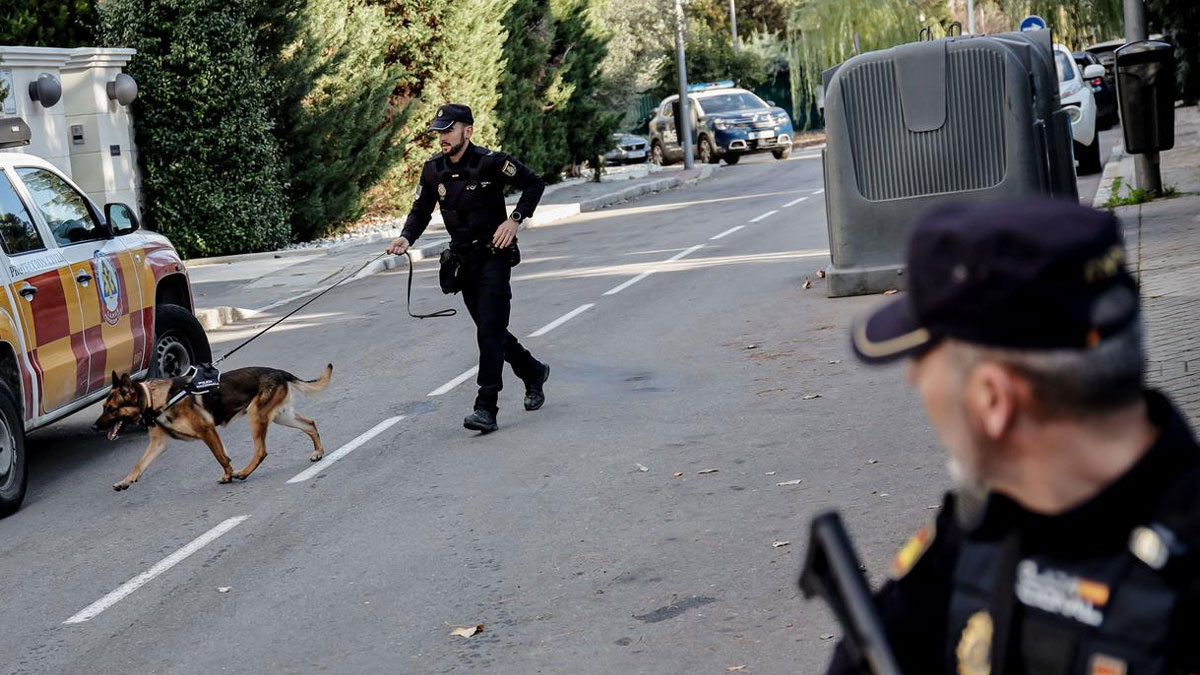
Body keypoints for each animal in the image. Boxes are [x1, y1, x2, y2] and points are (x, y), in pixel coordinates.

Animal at [92, 362, 333, 487]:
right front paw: (126, 480)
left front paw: (228, 475)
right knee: (310, 424)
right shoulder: (158, 444)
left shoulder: (206, 431)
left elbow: (220, 457)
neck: (154, 398)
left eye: (111, 409)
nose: (94, 428)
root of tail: (279, 372)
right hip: (280, 417)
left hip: (256, 416)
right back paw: (318, 452)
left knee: (261, 451)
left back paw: (244, 473)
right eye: (103, 407)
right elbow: (139, 463)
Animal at [388, 104, 549, 429]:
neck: (458, 162)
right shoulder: (428, 177)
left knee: (491, 327)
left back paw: (534, 381)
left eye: (449, 127)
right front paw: (401, 241)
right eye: (439, 130)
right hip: (470, 294)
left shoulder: (500, 162)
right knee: (502, 334)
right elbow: (421, 207)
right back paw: (536, 378)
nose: (440, 138)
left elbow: (533, 182)